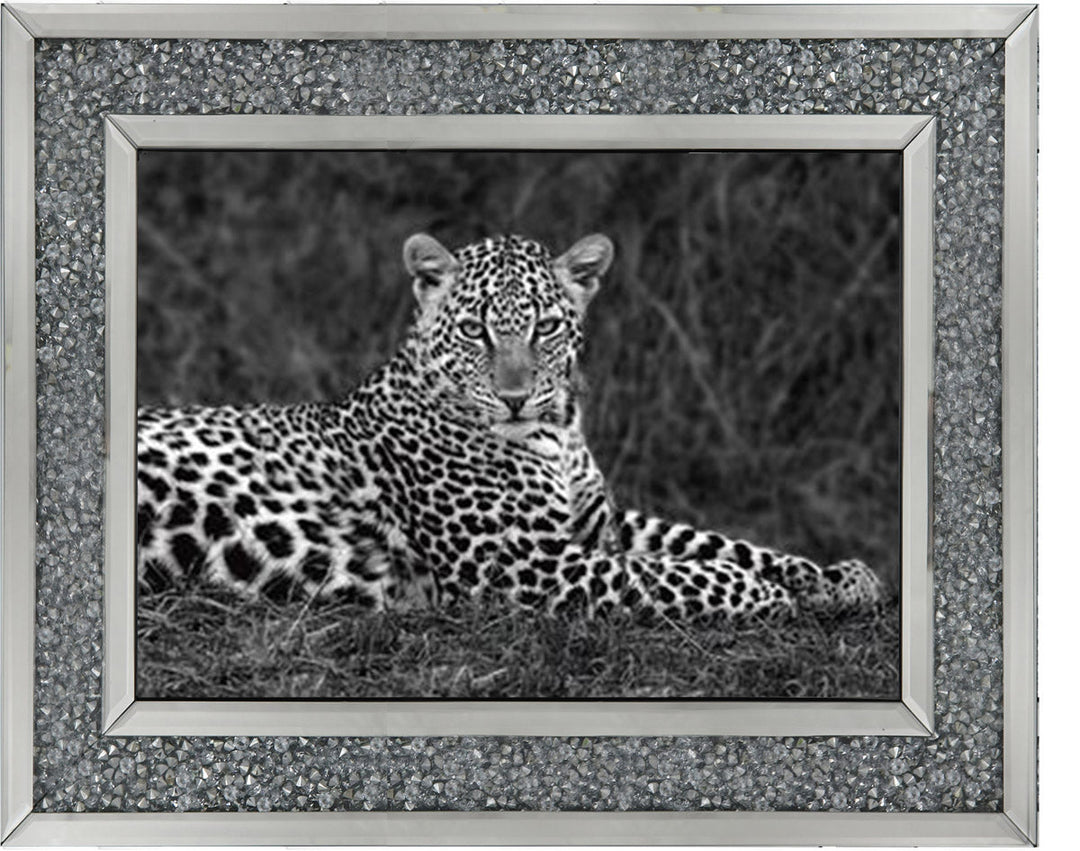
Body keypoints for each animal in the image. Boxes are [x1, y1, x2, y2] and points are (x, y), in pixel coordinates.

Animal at [136, 232, 884, 624]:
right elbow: (672, 575)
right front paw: (770, 593)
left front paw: (834, 576)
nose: (516, 397)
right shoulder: (520, 561)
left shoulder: (599, 523)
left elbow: (707, 541)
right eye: (476, 331)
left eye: (545, 327)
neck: (559, 432)